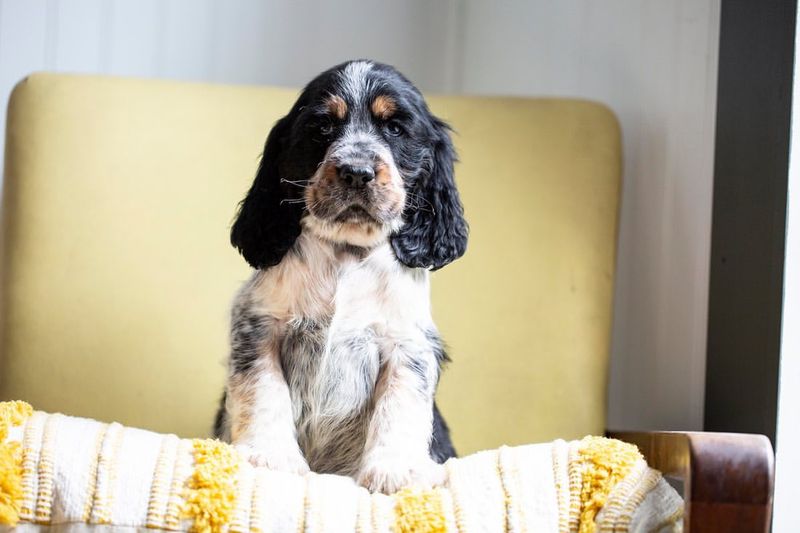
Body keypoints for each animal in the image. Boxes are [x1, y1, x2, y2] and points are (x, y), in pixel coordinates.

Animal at [212, 60, 468, 492]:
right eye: (322, 128)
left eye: (395, 128)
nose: (356, 172)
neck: (347, 254)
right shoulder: (259, 327)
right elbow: (262, 389)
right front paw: (270, 456)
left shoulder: (407, 343)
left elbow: (400, 404)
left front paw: (395, 469)